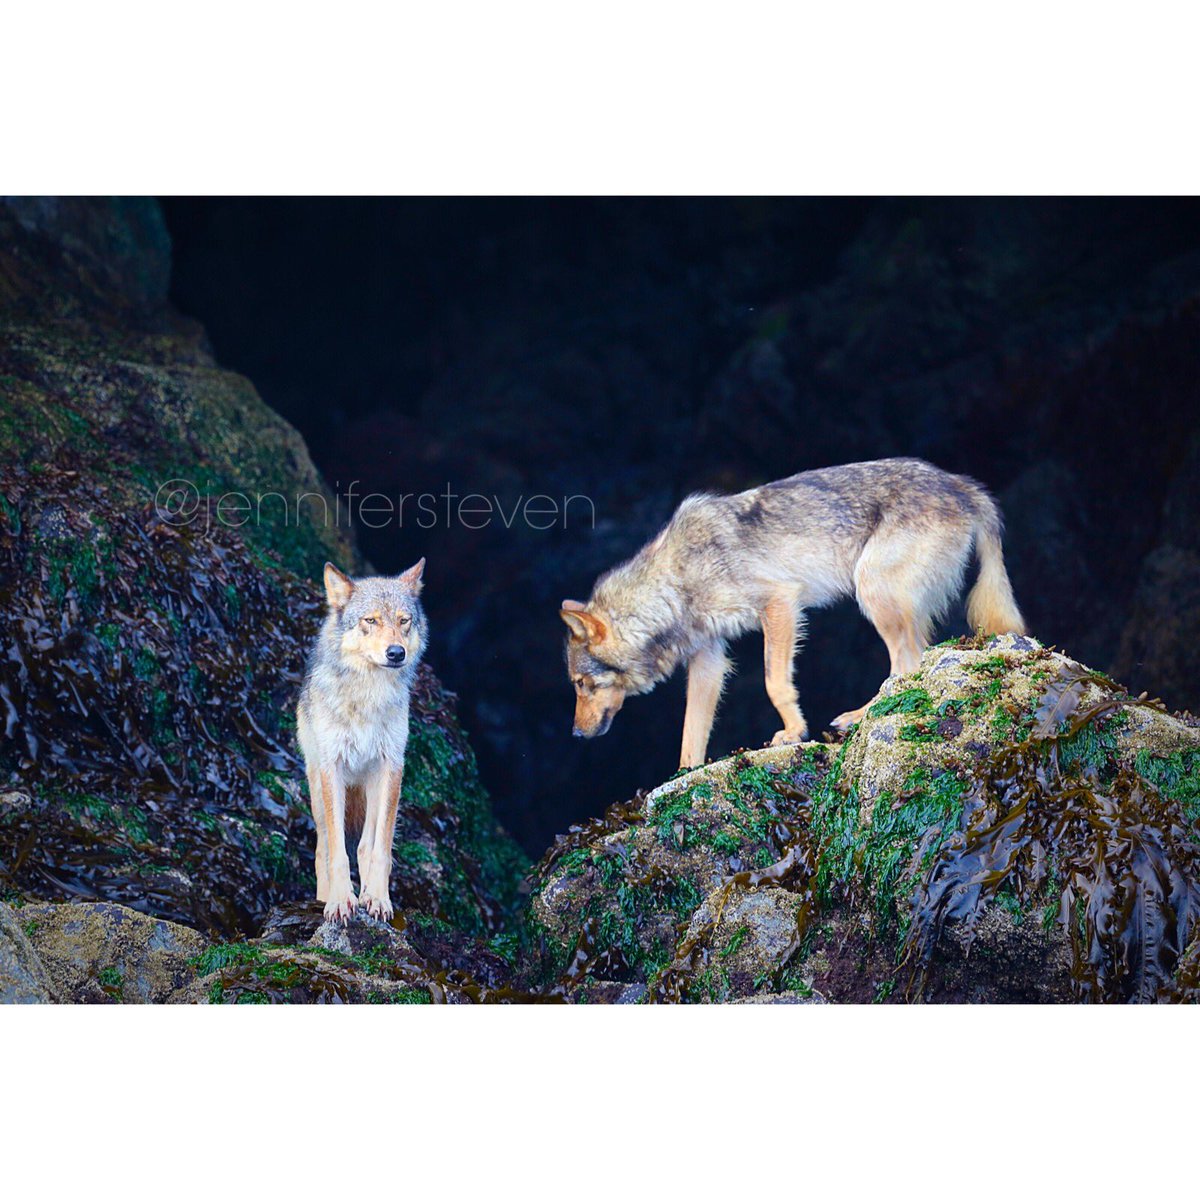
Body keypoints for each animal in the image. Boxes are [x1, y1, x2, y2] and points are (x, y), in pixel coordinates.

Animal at [297, 558, 427, 922]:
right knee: (323, 846)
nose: (395, 653)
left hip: (371, 785)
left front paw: (378, 898)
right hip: (318, 788)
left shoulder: (391, 765)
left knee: (367, 844)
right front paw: (341, 900)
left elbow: (380, 849)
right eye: (371, 620)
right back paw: (324, 896)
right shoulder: (333, 767)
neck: (368, 696)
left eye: (403, 621)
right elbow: (338, 850)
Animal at [561, 458, 1025, 770]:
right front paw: (681, 779)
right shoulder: (708, 659)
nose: (576, 735)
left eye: (581, 684)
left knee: (905, 666)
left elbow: (775, 684)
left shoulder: (780, 605)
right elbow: (691, 732)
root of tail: (960, 484)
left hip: (871, 591)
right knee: (914, 662)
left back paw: (858, 717)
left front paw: (792, 732)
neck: (675, 583)